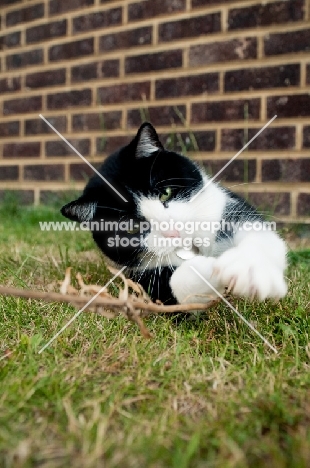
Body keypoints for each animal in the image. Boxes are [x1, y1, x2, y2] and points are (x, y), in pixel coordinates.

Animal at [61, 122, 286, 304]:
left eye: (165, 193)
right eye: (132, 227)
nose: (173, 232)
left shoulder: (225, 205)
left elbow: (256, 233)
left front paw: (247, 270)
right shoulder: (140, 274)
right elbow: (170, 285)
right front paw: (208, 270)